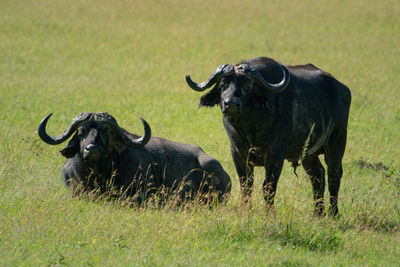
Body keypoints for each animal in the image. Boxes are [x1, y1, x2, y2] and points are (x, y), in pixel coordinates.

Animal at [186, 56, 352, 216]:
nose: (231, 103)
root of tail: (342, 89)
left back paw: (334, 213)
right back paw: (318, 212)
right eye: (222, 84)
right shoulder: (238, 153)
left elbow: (268, 186)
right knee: (318, 176)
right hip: (308, 153)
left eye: (247, 85)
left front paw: (269, 212)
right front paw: (246, 210)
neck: (250, 127)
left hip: (337, 140)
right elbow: (246, 185)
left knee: (334, 174)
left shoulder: (276, 154)